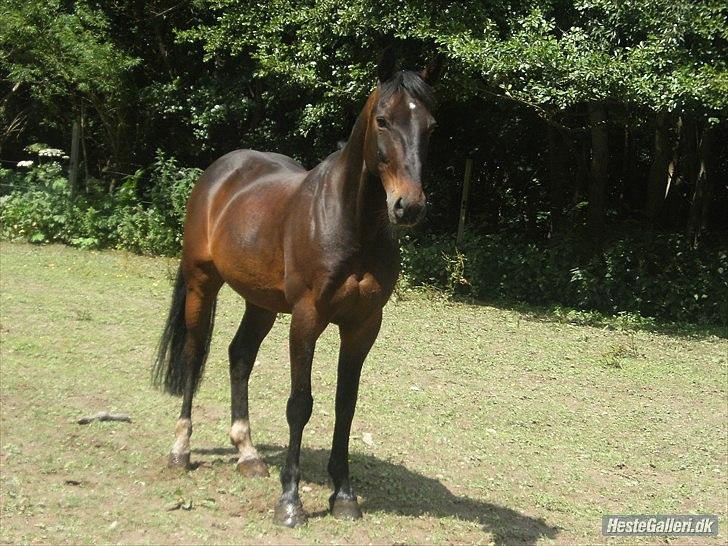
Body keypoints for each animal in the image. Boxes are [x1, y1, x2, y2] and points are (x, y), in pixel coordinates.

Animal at [152, 49, 442, 527]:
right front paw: (289, 501)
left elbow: (346, 404)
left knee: (239, 356)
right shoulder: (307, 317)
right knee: (194, 356)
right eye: (383, 120)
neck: (349, 222)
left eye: (431, 125)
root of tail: (220, 171)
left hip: (261, 303)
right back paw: (180, 450)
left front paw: (344, 495)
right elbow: (300, 404)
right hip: (201, 283)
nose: (409, 206)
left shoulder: (363, 325)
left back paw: (247, 454)